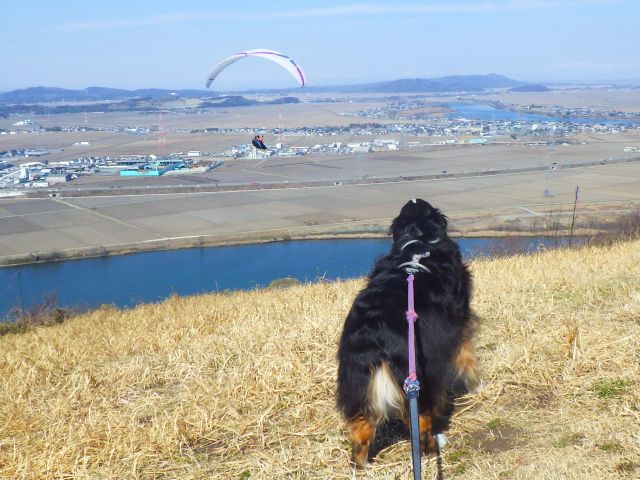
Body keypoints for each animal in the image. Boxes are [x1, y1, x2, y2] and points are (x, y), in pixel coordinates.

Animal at [336, 198, 479, 468]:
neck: (416, 240)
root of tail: (376, 331)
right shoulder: (460, 323)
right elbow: (467, 357)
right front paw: (477, 385)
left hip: (358, 379)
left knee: (360, 429)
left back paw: (363, 465)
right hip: (419, 377)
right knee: (420, 425)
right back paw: (437, 442)